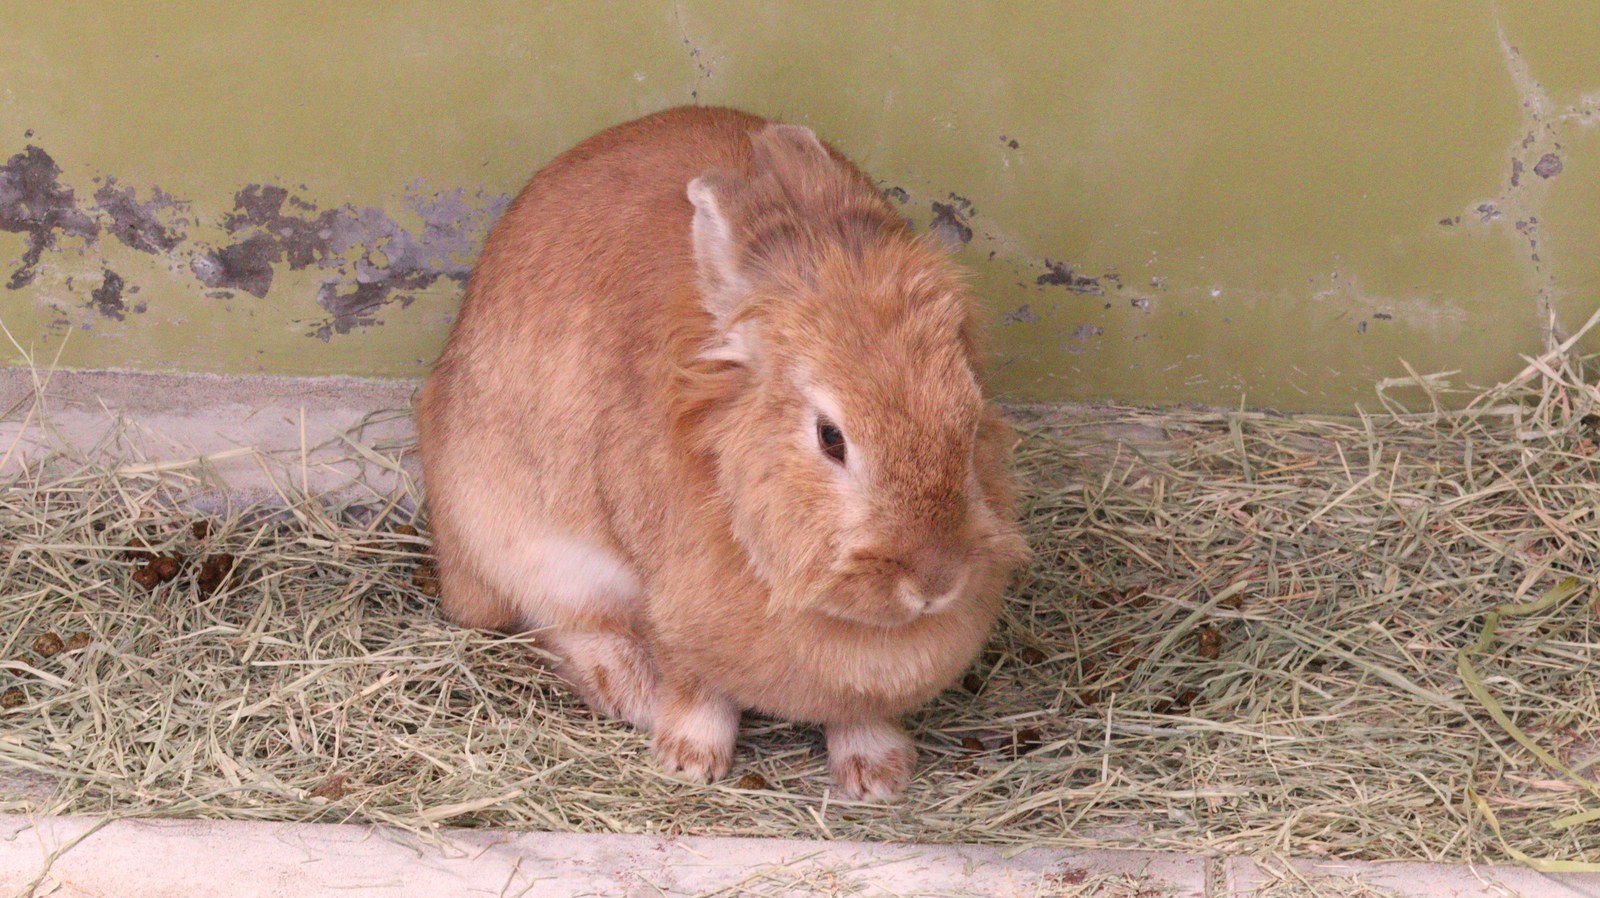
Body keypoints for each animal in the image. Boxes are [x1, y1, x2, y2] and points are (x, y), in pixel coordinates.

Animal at [416, 105, 1029, 801]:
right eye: (831, 438)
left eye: (970, 413)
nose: (934, 580)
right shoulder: (670, 606)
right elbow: (695, 683)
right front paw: (688, 758)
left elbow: (860, 713)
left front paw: (877, 774)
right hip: (519, 536)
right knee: (558, 621)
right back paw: (632, 691)